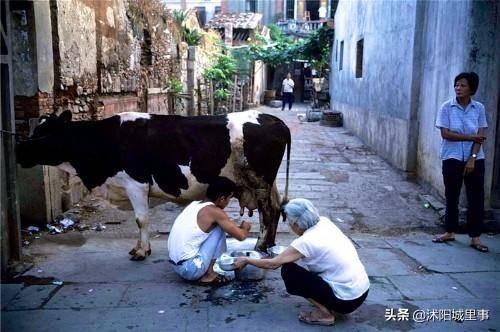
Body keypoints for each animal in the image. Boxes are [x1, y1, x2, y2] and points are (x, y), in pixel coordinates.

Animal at [16, 110, 290, 260]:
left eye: (44, 133)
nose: (18, 150)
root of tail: (274, 120)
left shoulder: (135, 183)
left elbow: (141, 219)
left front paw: (142, 251)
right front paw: (138, 248)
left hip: (260, 180)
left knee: (268, 212)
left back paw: (260, 245)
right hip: (268, 183)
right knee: (276, 208)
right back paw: (268, 244)